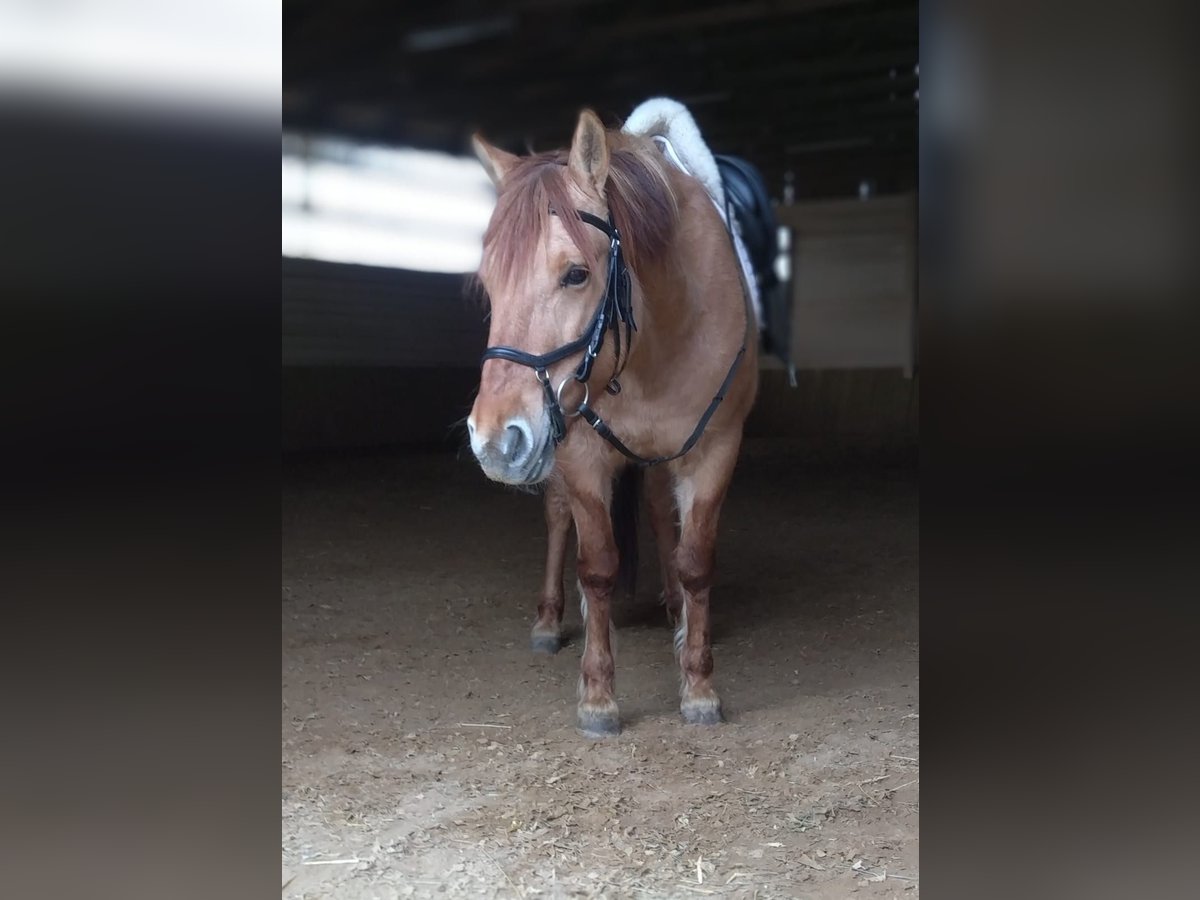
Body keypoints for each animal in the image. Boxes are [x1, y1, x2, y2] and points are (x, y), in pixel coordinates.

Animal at [468, 107, 758, 739]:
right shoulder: (579, 456)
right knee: (558, 520)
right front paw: (598, 697)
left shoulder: (716, 450)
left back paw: (672, 607)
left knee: (657, 512)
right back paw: (549, 622)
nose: (494, 441)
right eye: (488, 282)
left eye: (576, 274)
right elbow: (596, 568)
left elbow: (696, 562)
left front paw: (699, 686)